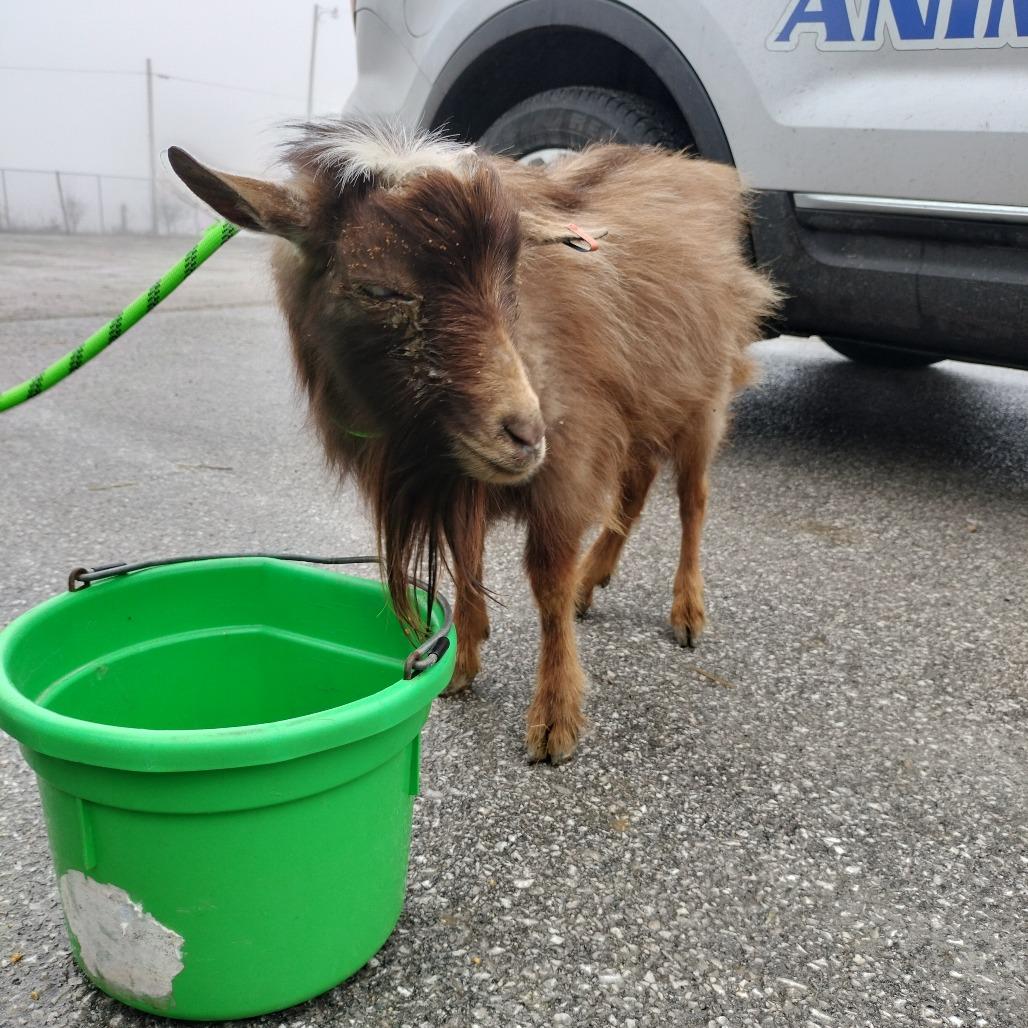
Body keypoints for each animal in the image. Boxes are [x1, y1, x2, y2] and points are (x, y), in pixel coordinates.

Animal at [170, 120, 780, 764]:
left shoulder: (570, 458)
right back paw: (595, 579)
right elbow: (466, 553)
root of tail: (705, 173)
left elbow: (546, 579)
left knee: (692, 501)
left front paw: (554, 720)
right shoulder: (472, 471)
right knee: (635, 490)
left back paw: (686, 612)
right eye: (380, 291)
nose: (526, 433)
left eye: (510, 281)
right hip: (643, 408)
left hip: (705, 398)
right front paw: (462, 658)